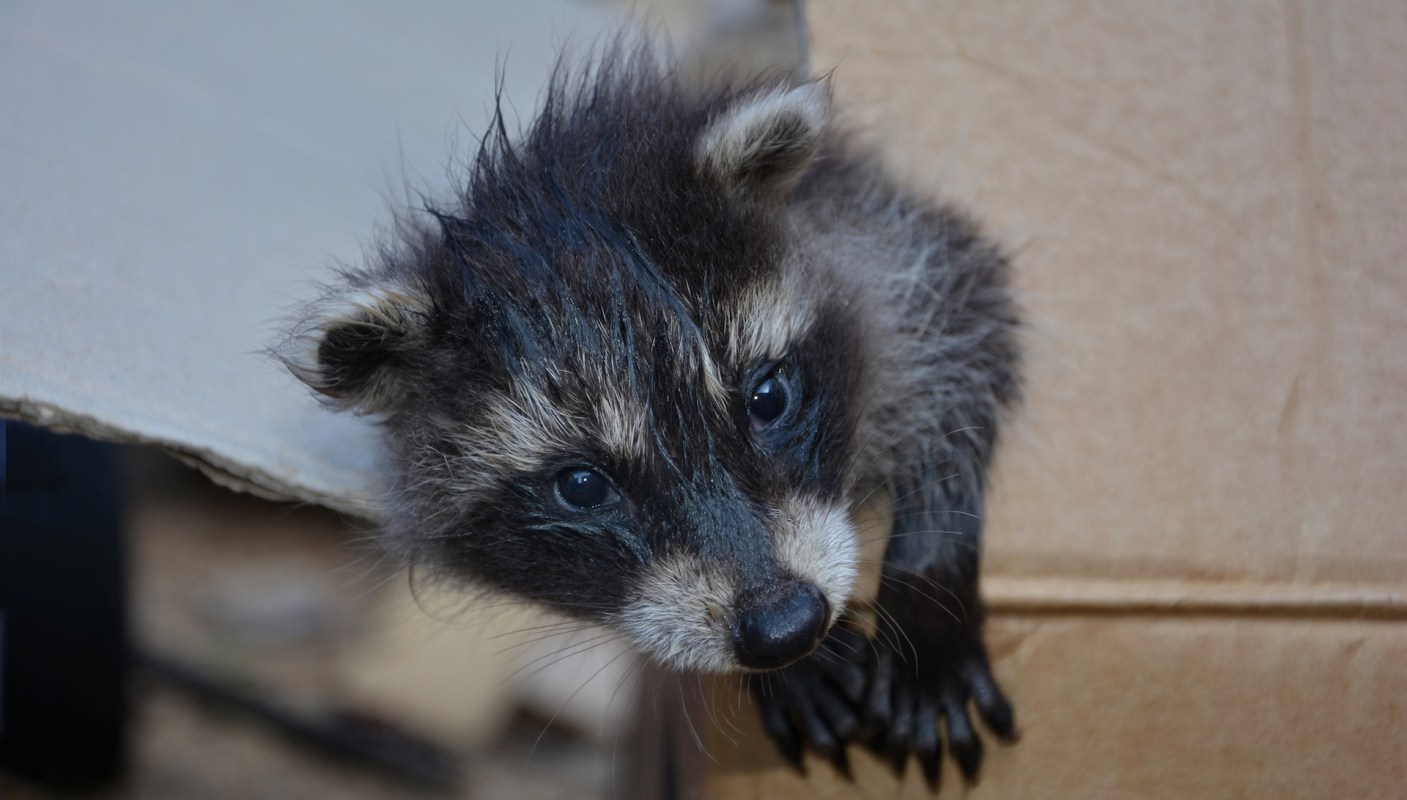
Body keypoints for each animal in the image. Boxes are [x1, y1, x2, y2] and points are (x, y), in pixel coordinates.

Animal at [279, 50, 1020, 788]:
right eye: (582, 486)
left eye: (767, 398)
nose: (786, 625)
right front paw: (797, 669)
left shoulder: (885, 234)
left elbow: (966, 331)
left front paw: (927, 586)